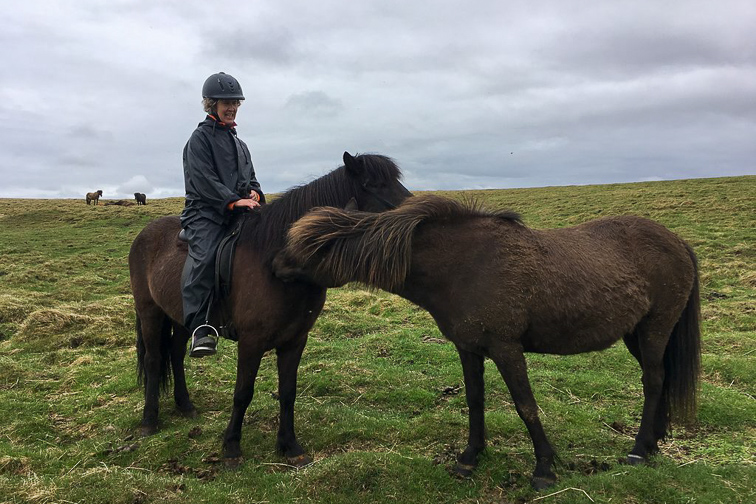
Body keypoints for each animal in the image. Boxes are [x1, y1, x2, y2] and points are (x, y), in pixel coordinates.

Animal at [130, 152, 414, 466]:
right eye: (370, 184)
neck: (275, 261)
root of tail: (144, 234)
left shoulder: (295, 340)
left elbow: (288, 392)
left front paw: (290, 446)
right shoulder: (251, 342)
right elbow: (243, 392)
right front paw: (231, 447)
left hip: (181, 317)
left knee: (176, 353)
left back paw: (185, 405)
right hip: (150, 312)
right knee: (154, 360)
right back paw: (149, 421)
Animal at [274, 194, 704, 488]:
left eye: (312, 246)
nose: (275, 265)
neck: (462, 265)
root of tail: (678, 241)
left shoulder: (506, 349)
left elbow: (526, 406)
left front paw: (544, 469)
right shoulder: (469, 348)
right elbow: (475, 400)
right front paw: (470, 457)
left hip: (655, 327)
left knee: (653, 381)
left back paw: (639, 450)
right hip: (637, 334)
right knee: (661, 379)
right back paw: (654, 441)